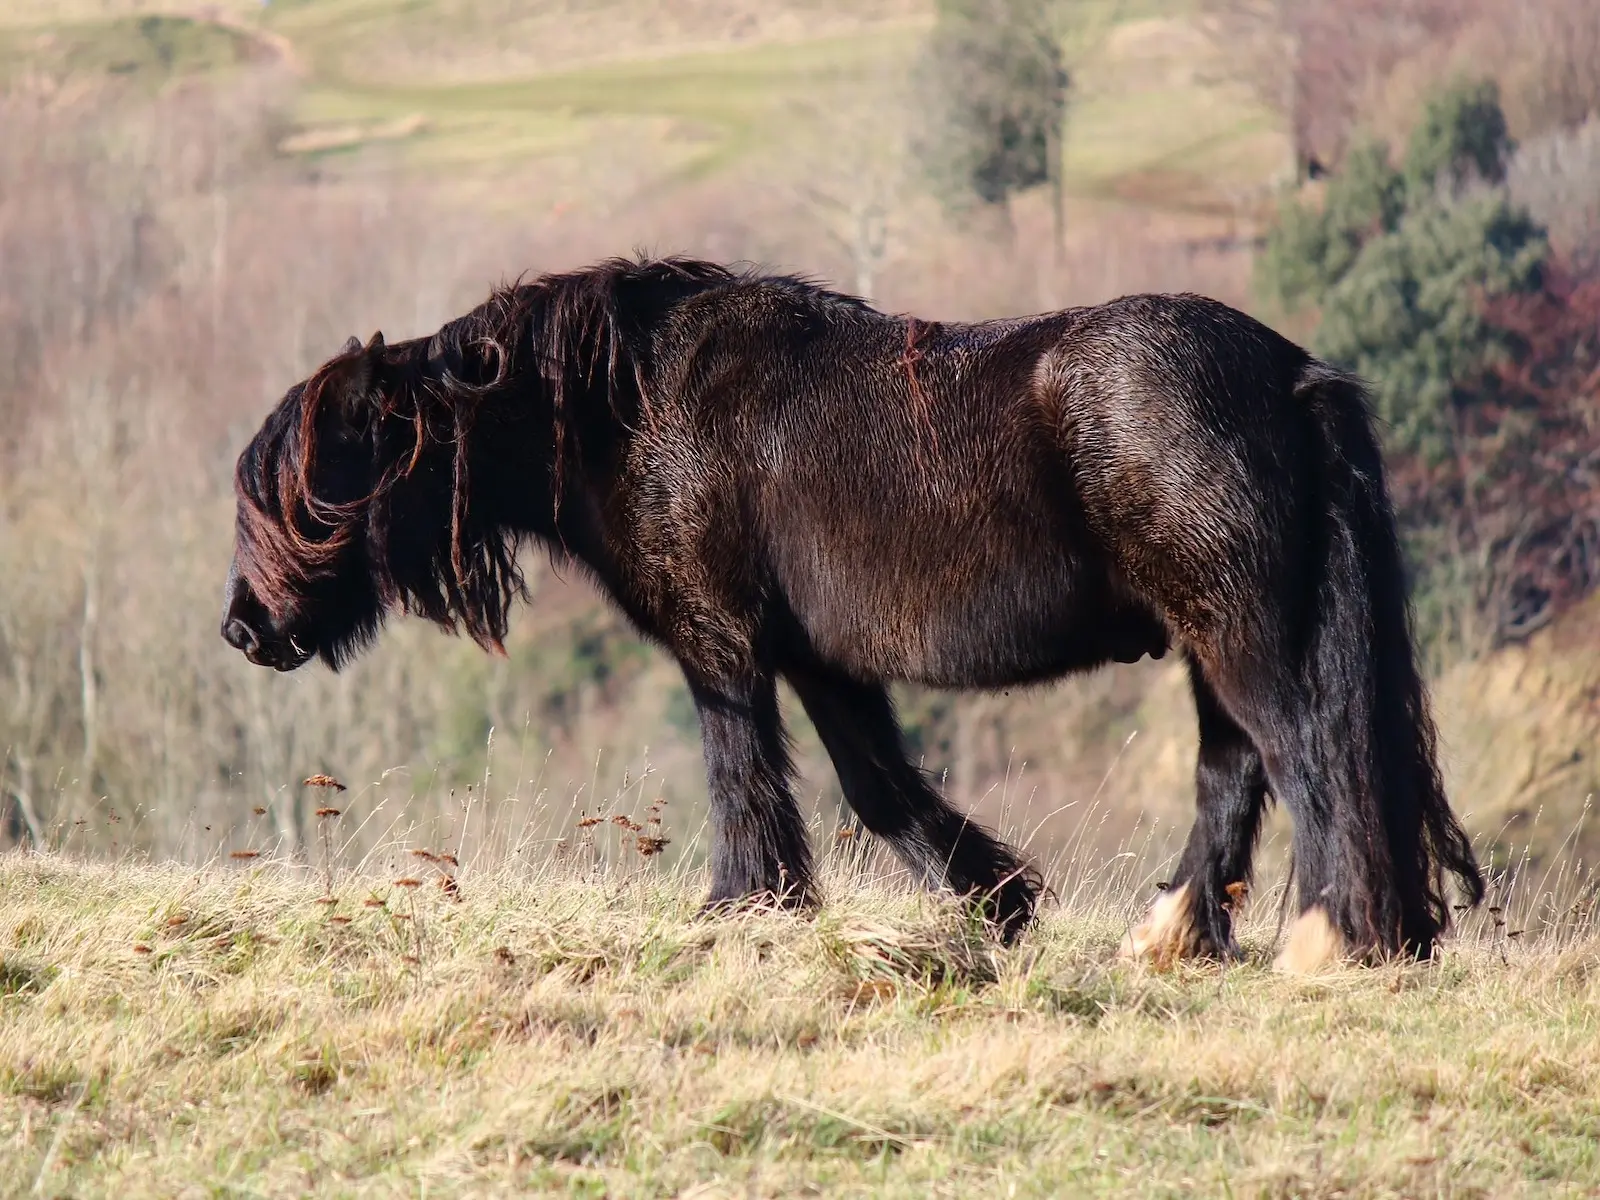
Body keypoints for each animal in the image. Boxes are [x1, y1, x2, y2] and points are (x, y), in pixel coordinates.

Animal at [219, 254, 1478, 966]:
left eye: (311, 487)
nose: (243, 630)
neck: (631, 407)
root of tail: (1294, 375)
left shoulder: (721, 643)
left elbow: (740, 771)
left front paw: (742, 907)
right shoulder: (821, 659)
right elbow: (878, 787)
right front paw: (995, 903)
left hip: (1237, 632)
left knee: (1307, 753)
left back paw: (1327, 936)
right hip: (1217, 643)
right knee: (1239, 769)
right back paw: (1176, 936)